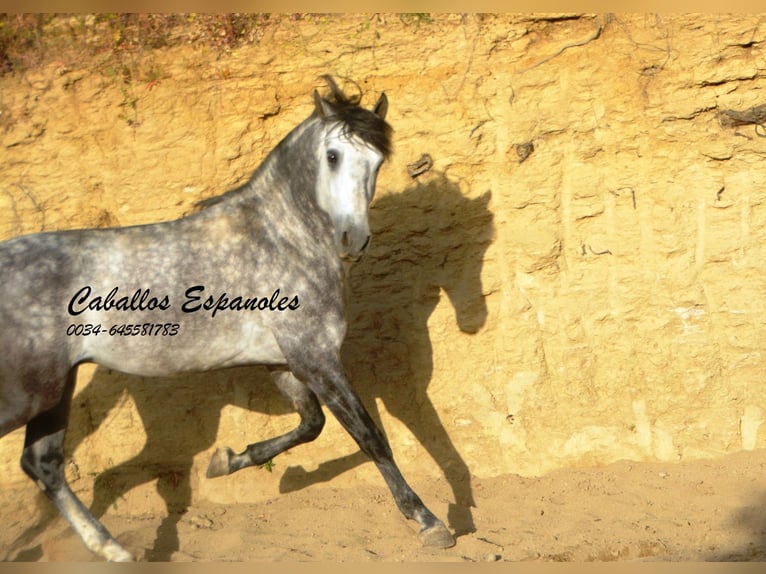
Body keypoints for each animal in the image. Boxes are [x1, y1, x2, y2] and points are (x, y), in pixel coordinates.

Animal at [0, 75, 456, 564]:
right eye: (333, 156)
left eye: (377, 160)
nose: (353, 239)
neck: (282, 240)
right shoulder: (316, 357)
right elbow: (369, 435)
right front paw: (430, 522)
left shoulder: (284, 363)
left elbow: (311, 426)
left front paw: (228, 462)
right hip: (31, 392)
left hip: (55, 388)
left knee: (43, 463)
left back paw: (113, 549)